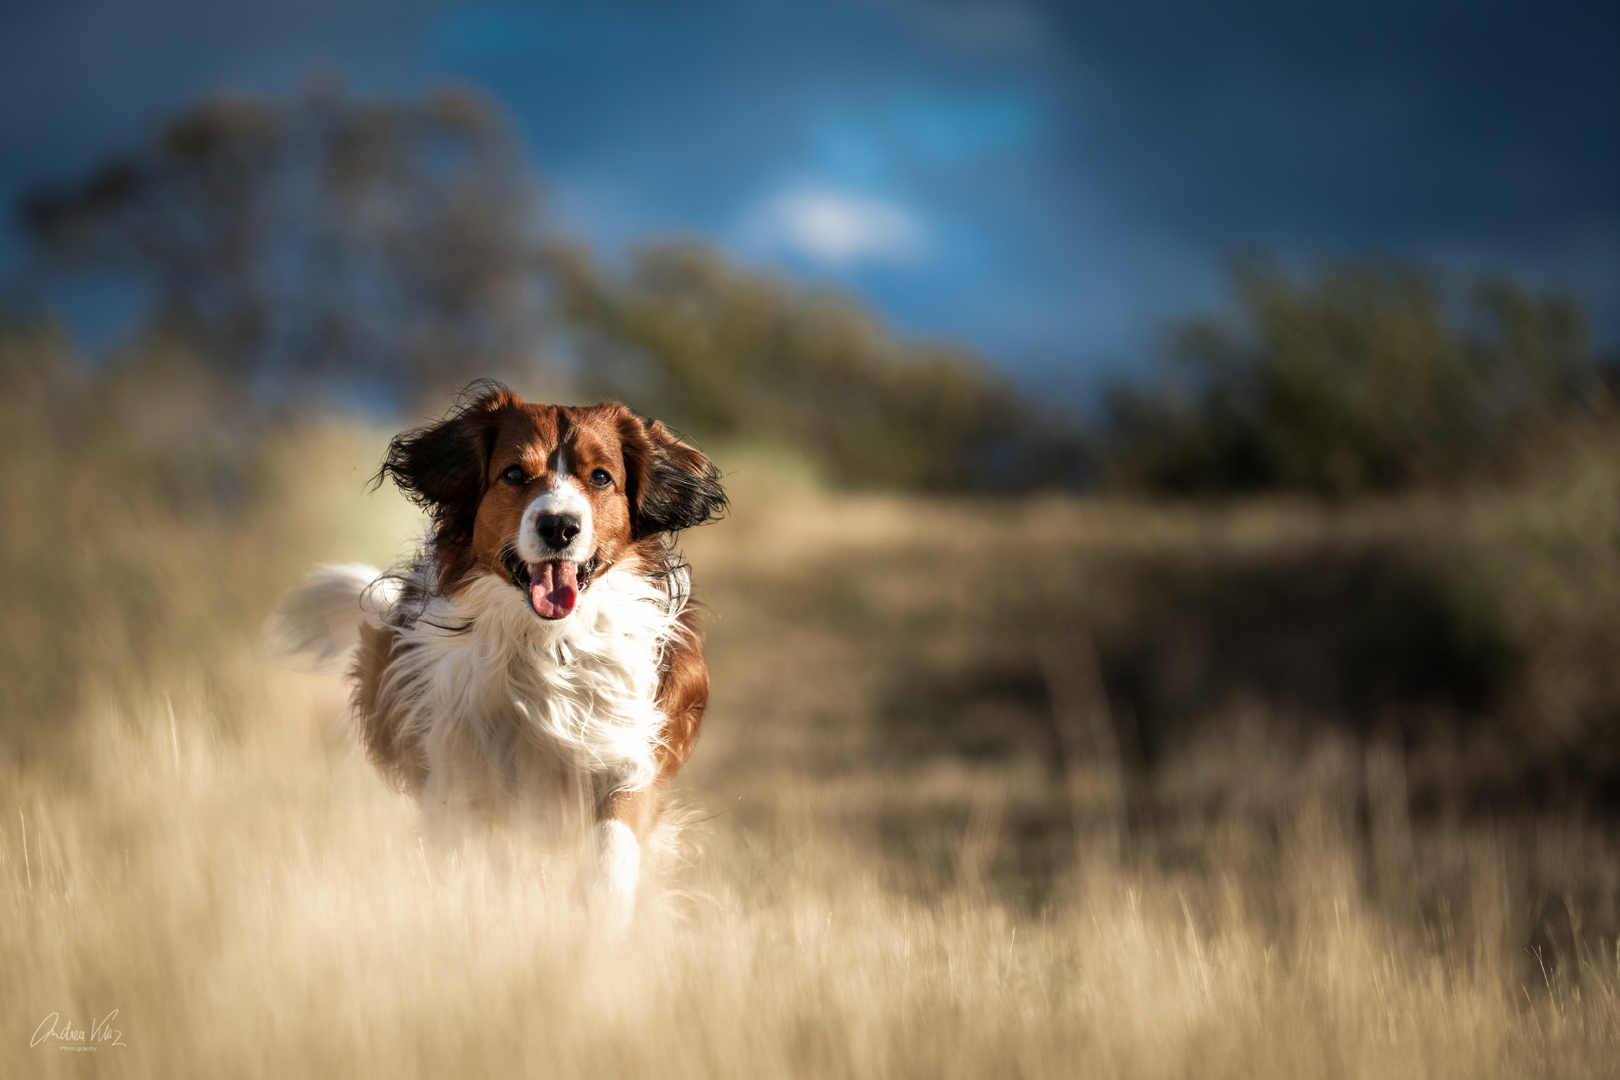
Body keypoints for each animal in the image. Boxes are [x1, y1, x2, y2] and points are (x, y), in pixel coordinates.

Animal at [268, 383, 725, 926]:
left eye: (600, 477)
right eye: (513, 474)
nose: (559, 526)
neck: (545, 641)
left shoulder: (626, 754)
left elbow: (612, 847)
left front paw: (601, 922)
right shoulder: (465, 776)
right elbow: (491, 863)